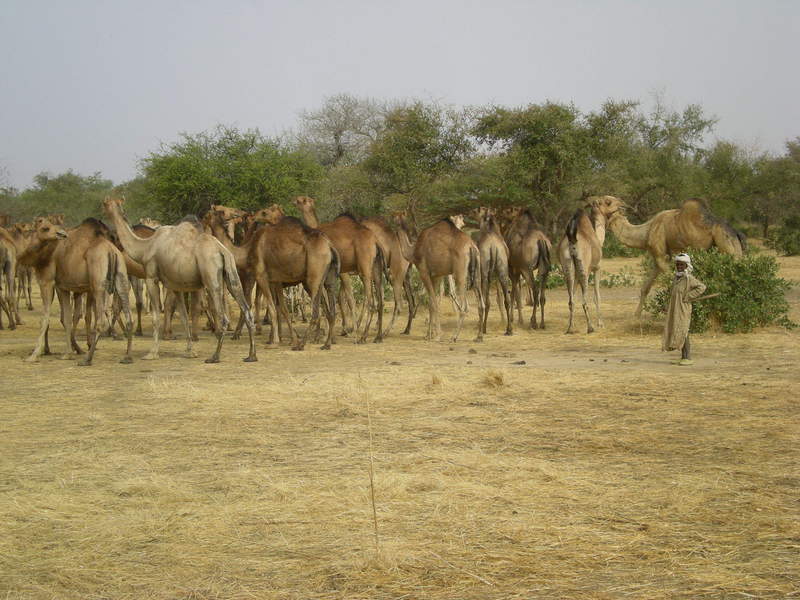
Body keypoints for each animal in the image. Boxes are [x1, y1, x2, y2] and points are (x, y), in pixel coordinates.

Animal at [18, 218, 134, 364]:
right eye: (45, 228)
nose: (61, 234)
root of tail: (111, 251)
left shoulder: (49, 282)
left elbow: (46, 318)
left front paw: (34, 355)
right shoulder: (64, 287)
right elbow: (67, 318)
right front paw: (67, 353)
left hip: (98, 283)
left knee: (101, 320)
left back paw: (87, 359)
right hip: (121, 275)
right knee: (129, 317)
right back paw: (127, 356)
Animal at [101, 197, 255, 364]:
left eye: (105, 204)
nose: (109, 231)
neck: (145, 247)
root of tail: (222, 251)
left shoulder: (151, 277)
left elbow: (157, 317)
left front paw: (152, 353)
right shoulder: (175, 285)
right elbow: (183, 316)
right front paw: (190, 351)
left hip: (211, 277)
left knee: (224, 317)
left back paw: (215, 356)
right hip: (232, 275)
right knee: (247, 310)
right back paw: (251, 355)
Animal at [294, 196, 384, 342]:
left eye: (303, 200)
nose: (295, 199)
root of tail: (375, 242)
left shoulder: (336, 272)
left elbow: (337, 299)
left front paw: (324, 334)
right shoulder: (341, 272)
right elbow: (340, 299)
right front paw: (337, 331)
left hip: (364, 268)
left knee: (370, 301)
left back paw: (362, 336)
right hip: (376, 268)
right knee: (380, 301)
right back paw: (378, 336)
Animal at [556, 196, 624, 332]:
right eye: (608, 202)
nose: (622, 204)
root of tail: (572, 240)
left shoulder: (576, 274)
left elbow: (573, 297)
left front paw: (572, 325)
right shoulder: (597, 268)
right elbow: (597, 296)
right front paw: (601, 324)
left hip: (568, 267)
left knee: (571, 300)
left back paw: (570, 329)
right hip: (585, 270)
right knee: (584, 300)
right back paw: (590, 327)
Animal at [608, 198, 748, 318]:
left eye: (608, 204)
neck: (647, 232)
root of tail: (735, 232)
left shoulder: (661, 255)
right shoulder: (660, 259)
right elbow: (645, 287)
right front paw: (636, 315)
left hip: (725, 244)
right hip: (735, 249)